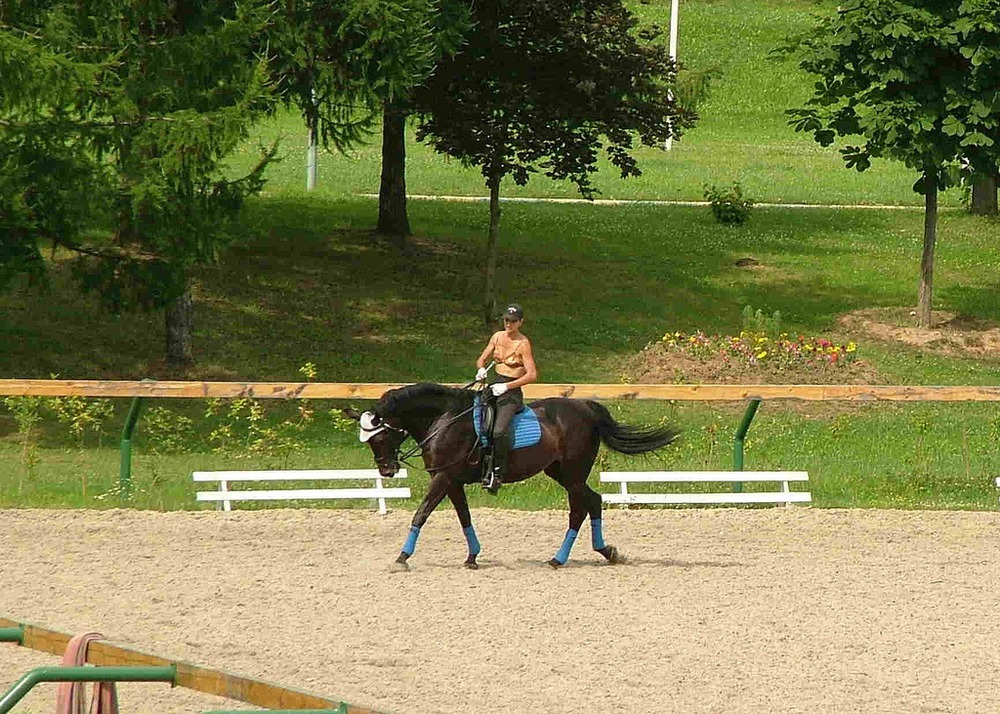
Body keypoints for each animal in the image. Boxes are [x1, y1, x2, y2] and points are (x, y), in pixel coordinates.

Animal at [352, 382, 680, 572]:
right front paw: (472, 557)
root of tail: (584, 406)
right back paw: (604, 551)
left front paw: (402, 558)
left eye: (380, 437)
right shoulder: (452, 480)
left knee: (579, 509)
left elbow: (420, 514)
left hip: (572, 473)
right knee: (593, 501)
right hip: (561, 472)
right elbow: (464, 517)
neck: (444, 419)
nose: (387, 470)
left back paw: (560, 558)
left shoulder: (443, 477)